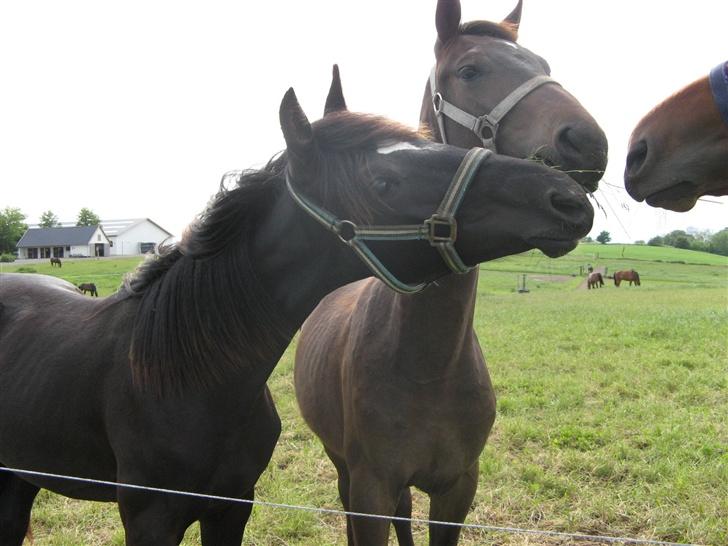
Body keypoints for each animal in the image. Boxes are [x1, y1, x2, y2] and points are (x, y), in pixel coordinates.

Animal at [292, 2, 604, 540]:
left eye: (543, 64)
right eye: (470, 70)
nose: (588, 144)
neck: (427, 363)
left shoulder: (457, 488)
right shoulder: (369, 486)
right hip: (341, 463)